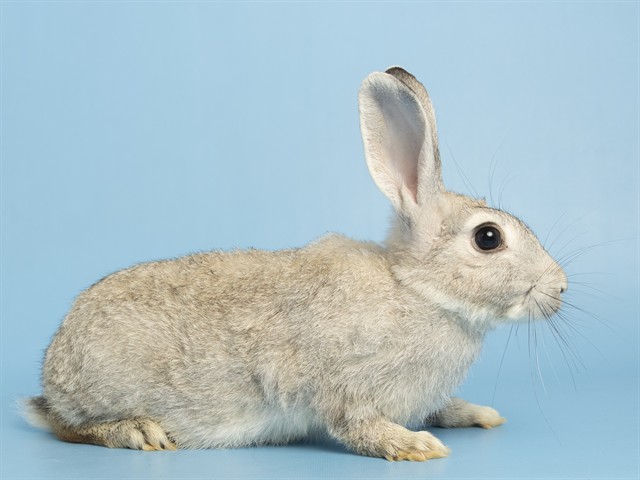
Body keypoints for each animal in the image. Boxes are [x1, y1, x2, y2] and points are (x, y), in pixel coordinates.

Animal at [24, 66, 568, 461]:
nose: (560, 287)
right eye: (488, 238)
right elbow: (357, 426)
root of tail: (53, 372)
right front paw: (415, 446)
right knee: (68, 428)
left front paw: (477, 413)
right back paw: (139, 432)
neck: (418, 291)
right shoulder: (341, 386)